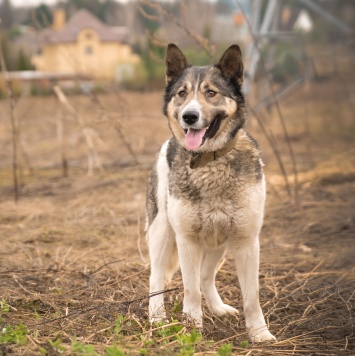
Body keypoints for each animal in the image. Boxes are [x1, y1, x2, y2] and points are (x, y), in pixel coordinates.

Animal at [146, 44, 276, 342]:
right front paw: (192, 329)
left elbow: (251, 297)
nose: (189, 116)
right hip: (162, 232)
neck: (210, 162)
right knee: (156, 277)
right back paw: (157, 317)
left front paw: (259, 333)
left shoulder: (246, 241)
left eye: (211, 93)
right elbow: (190, 290)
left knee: (206, 277)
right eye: (182, 93)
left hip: (218, 243)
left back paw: (217, 308)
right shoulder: (187, 241)